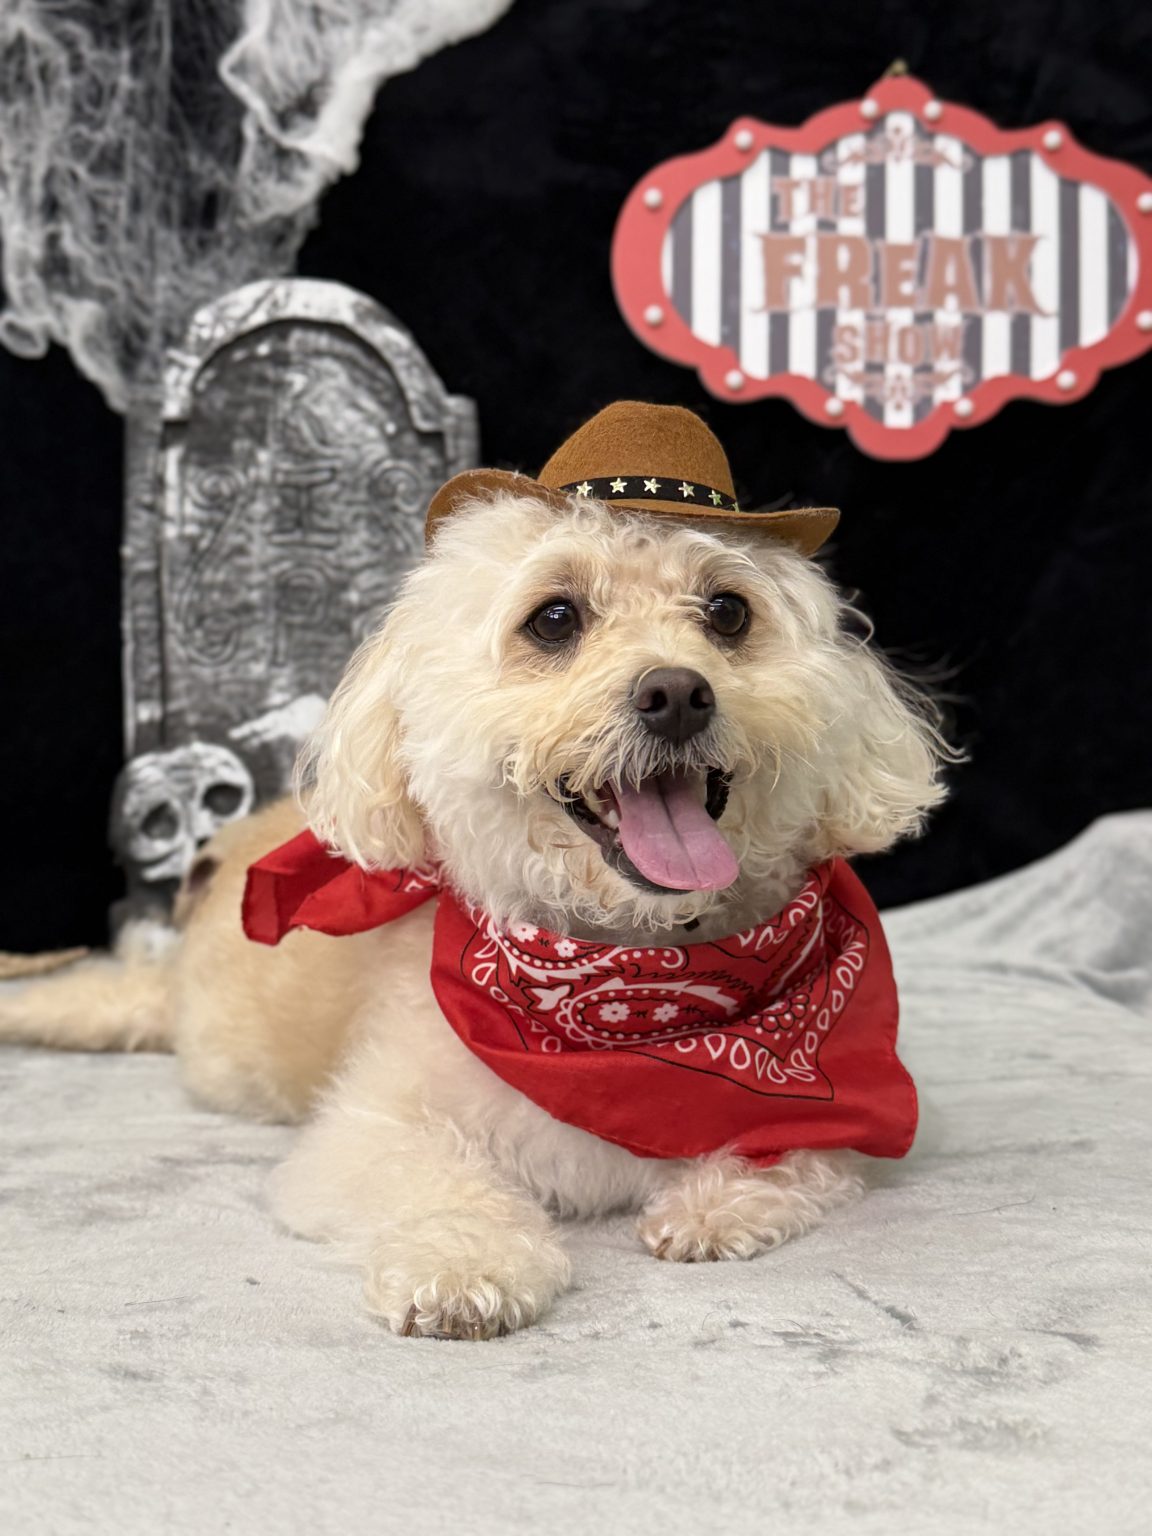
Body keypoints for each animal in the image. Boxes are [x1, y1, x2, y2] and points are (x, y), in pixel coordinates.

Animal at [0, 404, 947, 1340]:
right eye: (555, 619)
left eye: (727, 611)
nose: (677, 693)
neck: (628, 988)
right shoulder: (368, 1130)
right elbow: (434, 1183)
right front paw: (464, 1264)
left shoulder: (830, 1123)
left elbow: (795, 1153)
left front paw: (720, 1205)